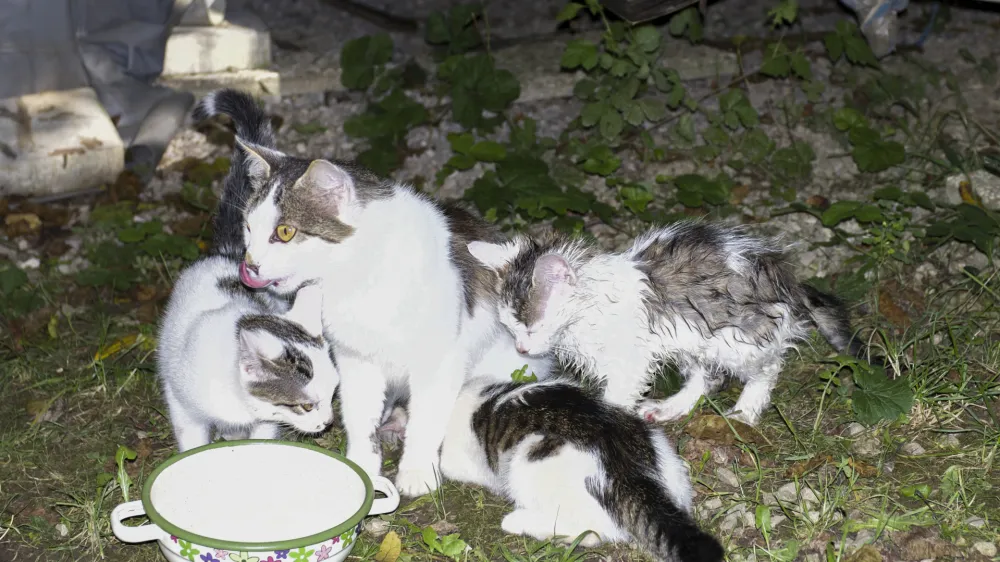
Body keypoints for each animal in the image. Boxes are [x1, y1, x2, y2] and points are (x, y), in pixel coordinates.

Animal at [156, 94, 340, 448]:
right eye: (306, 405)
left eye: (334, 393)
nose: (327, 422)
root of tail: (229, 254)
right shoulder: (180, 400)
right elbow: (191, 437)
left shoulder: (265, 419)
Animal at [442, 374, 724, 560]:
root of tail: (630, 472)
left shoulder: (454, 461)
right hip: (665, 454)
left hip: (530, 458)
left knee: (591, 530)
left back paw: (522, 522)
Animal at [464, 221, 880, 422]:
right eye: (511, 329)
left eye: (532, 327)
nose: (522, 348)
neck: (589, 310)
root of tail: (783, 277)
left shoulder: (630, 359)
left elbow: (616, 396)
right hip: (692, 337)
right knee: (706, 377)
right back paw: (674, 407)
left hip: (738, 335)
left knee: (767, 366)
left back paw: (747, 409)